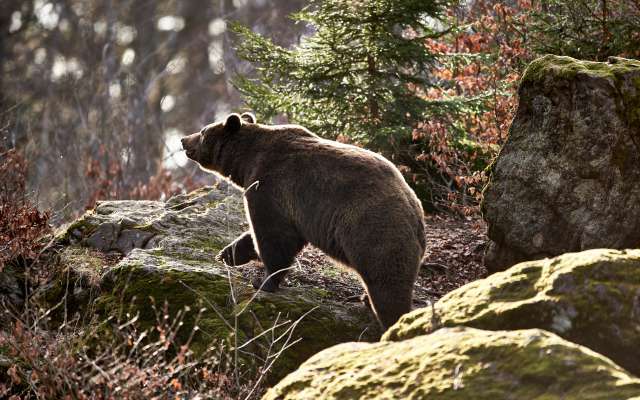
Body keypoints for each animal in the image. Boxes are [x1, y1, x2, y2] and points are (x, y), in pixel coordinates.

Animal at [181, 112, 424, 328]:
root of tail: (417, 215)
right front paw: (227, 253)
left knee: (387, 284)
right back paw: (365, 299)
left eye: (202, 131)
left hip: (374, 231)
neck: (247, 160)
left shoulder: (272, 186)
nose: (183, 139)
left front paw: (264, 281)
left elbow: (274, 236)